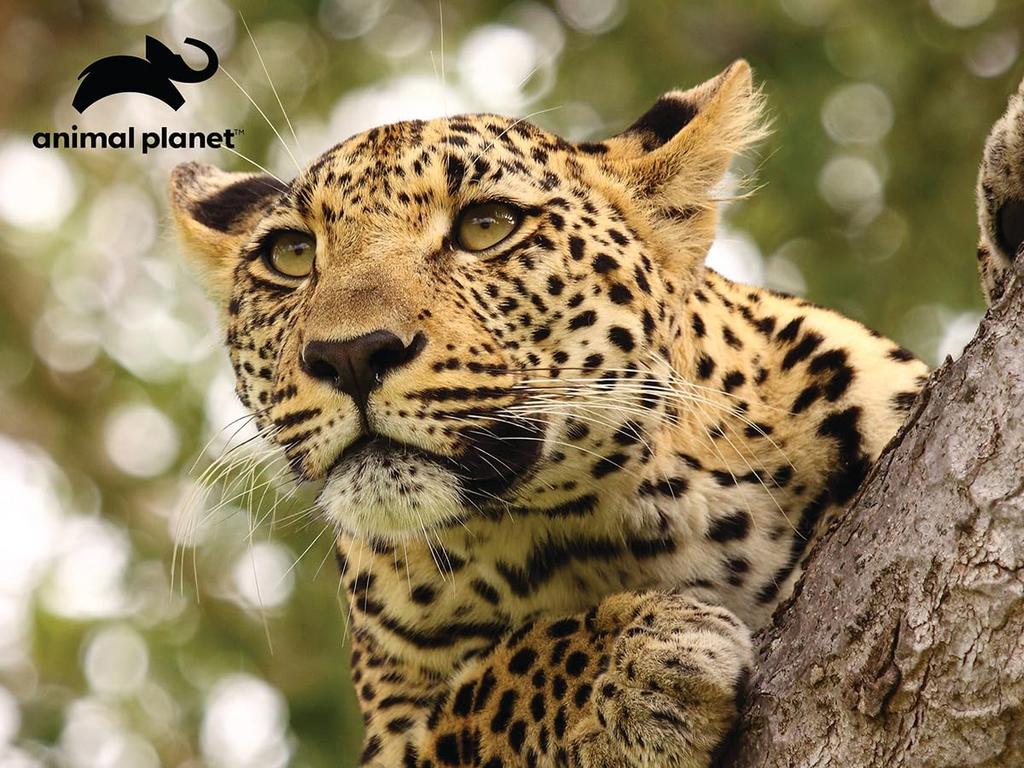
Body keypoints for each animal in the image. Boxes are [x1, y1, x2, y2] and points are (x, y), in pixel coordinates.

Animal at [168, 60, 1022, 767]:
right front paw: (636, 665)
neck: (621, 521)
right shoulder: (395, 733)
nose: (349, 355)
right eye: (291, 256)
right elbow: (487, 695)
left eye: (486, 225)